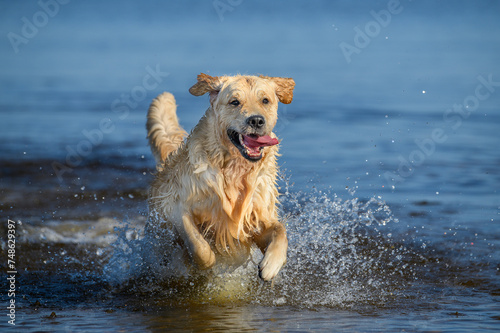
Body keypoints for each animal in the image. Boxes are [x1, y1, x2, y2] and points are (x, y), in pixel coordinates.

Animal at [146, 73, 292, 280]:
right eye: (234, 102)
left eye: (265, 100)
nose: (256, 121)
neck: (235, 171)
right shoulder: (175, 206)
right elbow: (196, 242)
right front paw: (207, 262)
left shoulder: (257, 218)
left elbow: (280, 230)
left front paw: (271, 265)